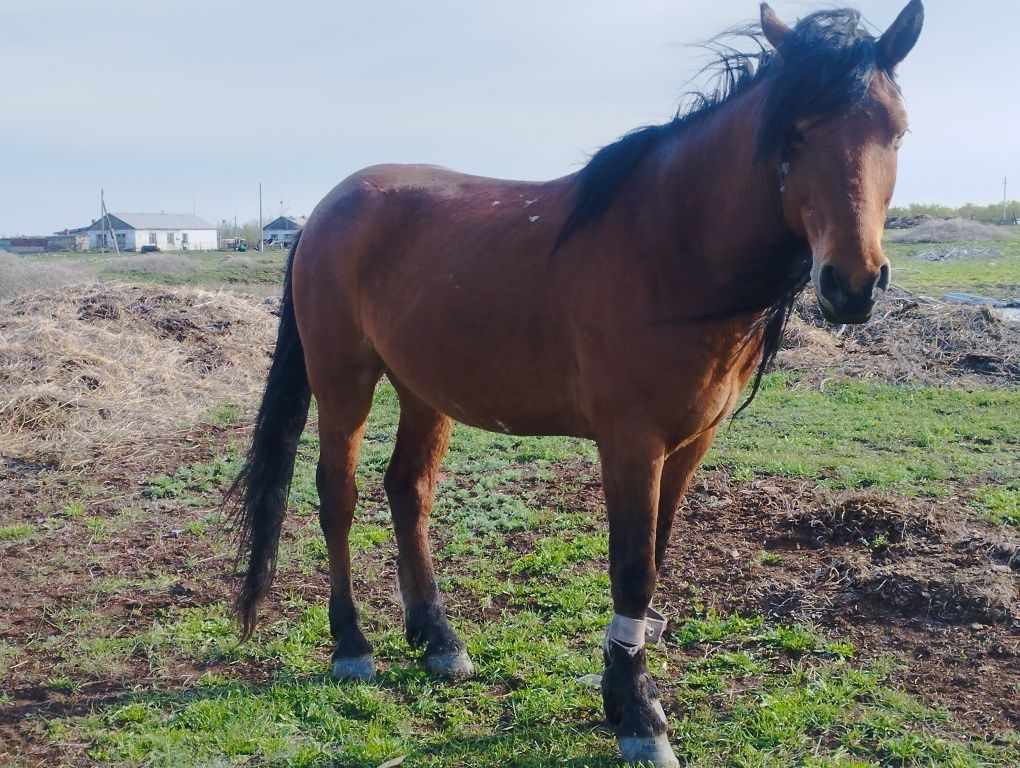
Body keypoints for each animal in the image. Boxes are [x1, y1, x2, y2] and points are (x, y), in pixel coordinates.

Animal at [229, 2, 926, 762]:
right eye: (794, 131)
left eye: (896, 129)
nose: (853, 284)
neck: (670, 246)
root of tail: (327, 208)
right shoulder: (630, 441)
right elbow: (632, 568)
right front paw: (637, 714)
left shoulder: (690, 442)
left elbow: (654, 554)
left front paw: (625, 687)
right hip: (344, 380)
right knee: (339, 496)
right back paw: (351, 646)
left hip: (424, 390)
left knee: (408, 490)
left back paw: (437, 638)